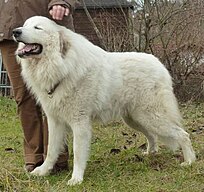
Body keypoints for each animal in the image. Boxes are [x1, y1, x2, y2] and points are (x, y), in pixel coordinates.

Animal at [13, 16, 196, 184]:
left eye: (37, 28)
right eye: (25, 25)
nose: (15, 32)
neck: (61, 65)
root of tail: (159, 64)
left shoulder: (80, 123)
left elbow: (78, 152)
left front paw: (76, 178)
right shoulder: (55, 121)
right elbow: (51, 150)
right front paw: (43, 171)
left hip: (152, 116)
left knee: (183, 134)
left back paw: (189, 161)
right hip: (135, 119)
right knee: (152, 135)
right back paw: (150, 153)